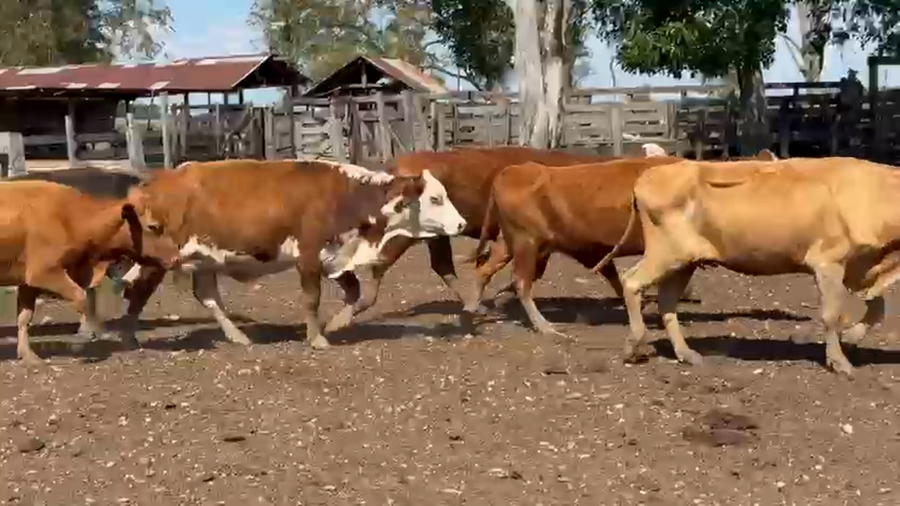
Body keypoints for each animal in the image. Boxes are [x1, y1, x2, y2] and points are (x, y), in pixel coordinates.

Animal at [0, 179, 180, 363]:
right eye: (153, 226)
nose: (176, 257)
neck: (70, 218)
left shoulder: (27, 282)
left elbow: (24, 318)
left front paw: (28, 356)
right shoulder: (44, 273)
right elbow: (81, 298)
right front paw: (89, 334)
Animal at [115, 159, 467, 350]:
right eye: (436, 198)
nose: (462, 223)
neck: (346, 196)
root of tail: (154, 183)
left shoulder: (334, 257)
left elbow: (354, 292)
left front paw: (334, 324)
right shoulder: (308, 256)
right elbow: (311, 299)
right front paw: (317, 338)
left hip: (205, 260)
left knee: (207, 296)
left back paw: (237, 336)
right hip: (158, 261)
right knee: (138, 293)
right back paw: (129, 337)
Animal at [468, 156, 687, 337]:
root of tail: (511, 171)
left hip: (512, 244)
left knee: (485, 270)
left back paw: (472, 308)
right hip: (526, 243)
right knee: (521, 283)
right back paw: (545, 326)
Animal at [591, 156, 900, 376]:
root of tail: (648, 176)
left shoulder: (861, 266)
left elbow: (878, 307)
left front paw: (852, 337)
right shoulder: (828, 262)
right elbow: (832, 314)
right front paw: (840, 362)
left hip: (685, 262)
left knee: (666, 302)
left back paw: (687, 354)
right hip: (666, 253)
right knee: (632, 281)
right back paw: (634, 344)